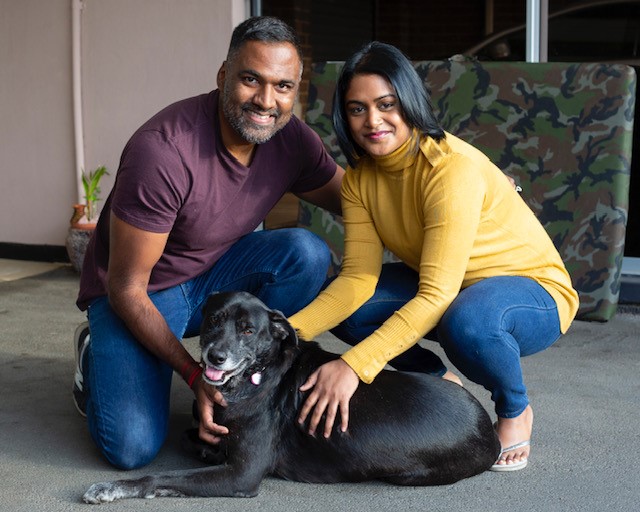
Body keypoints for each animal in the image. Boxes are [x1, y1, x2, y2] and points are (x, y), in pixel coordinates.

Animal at [82, 290, 500, 502]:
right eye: (214, 320)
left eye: (248, 330)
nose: (215, 357)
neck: (257, 375)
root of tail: (489, 429)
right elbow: (191, 438)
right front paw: (207, 446)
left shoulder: (241, 476)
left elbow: (162, 475)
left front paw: (111, 488)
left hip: (409, 475)